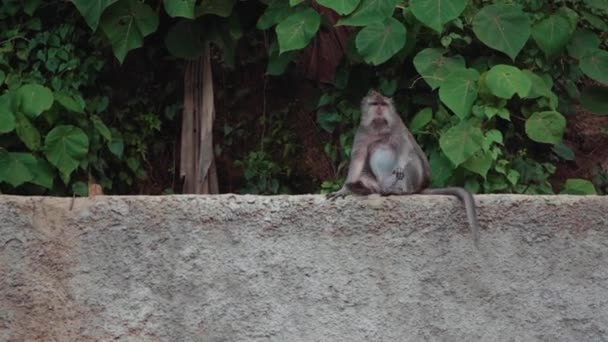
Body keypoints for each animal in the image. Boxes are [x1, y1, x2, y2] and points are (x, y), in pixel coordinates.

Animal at [328, 89, 480, 247]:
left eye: (383, 104)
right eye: (375, 104)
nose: (379, 110)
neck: (379, 128)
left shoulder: (397, 127)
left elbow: (405, 146)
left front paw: (400, 166)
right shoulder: (362, 132)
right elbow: (358, 160)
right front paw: (344, 189)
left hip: (413, 180)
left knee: (412, 158)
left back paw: (400, 191)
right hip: (380, 184)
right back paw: (361, 187)